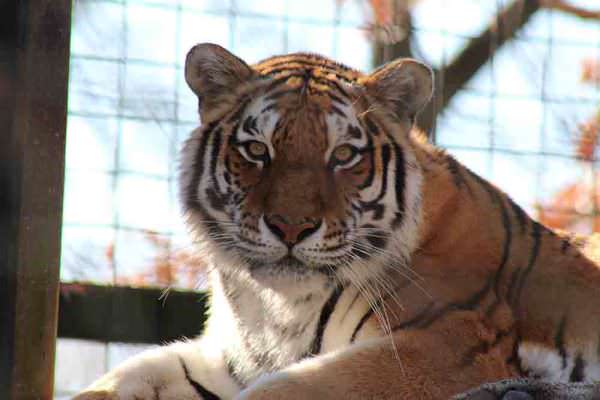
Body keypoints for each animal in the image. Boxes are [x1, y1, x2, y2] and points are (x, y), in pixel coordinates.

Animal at [74, 43, 600, 400]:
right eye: (257, 150)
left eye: (344, 155)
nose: (290, 227)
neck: (277, 309)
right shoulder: (230, 360)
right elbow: (129, 375)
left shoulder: (449, 343)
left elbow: (286, 390)